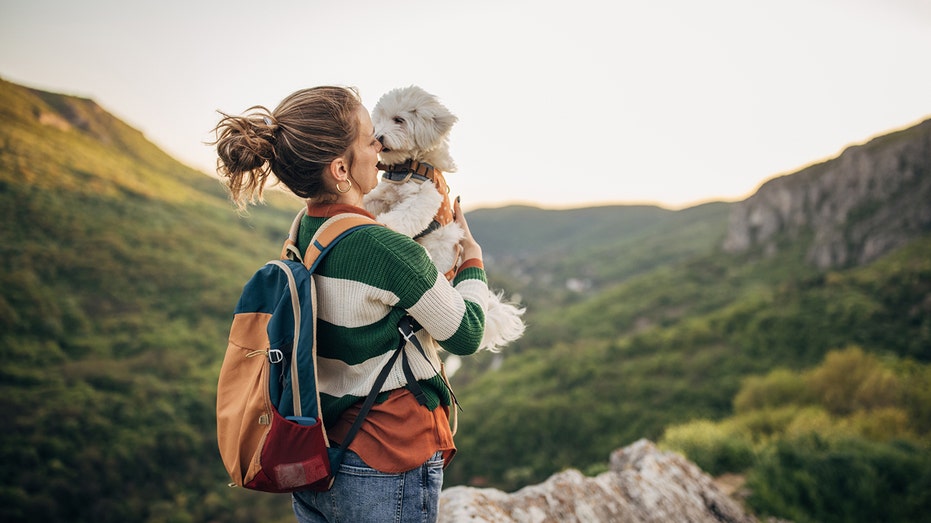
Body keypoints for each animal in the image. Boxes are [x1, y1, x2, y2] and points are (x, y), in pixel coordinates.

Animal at [364, 86, 524, 354]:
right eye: (378, 121)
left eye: (399, 120)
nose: (378, 136)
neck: (410, 166)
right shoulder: (382, 195)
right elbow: (367, 201)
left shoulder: (425, 198)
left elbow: (403, 216)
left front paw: (387, 225)